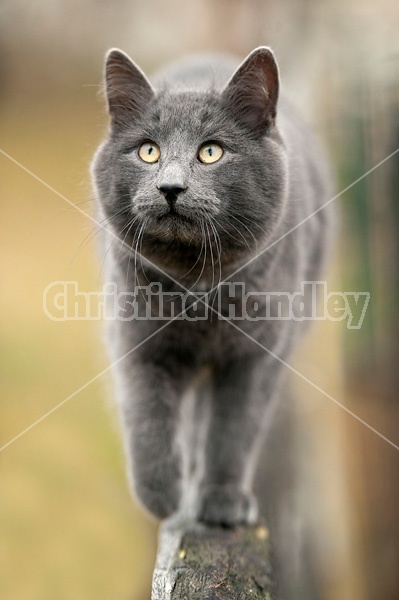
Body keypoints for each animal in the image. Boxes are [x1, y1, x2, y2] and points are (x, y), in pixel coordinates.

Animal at [91, 45, 334, 524]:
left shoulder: (257, 355)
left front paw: (221, 501)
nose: (170, 186)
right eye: (148, 151)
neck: (197, 288)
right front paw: (162, 494)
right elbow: (146, 414)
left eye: (210, 153)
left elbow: (233, 429)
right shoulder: (137, 340)